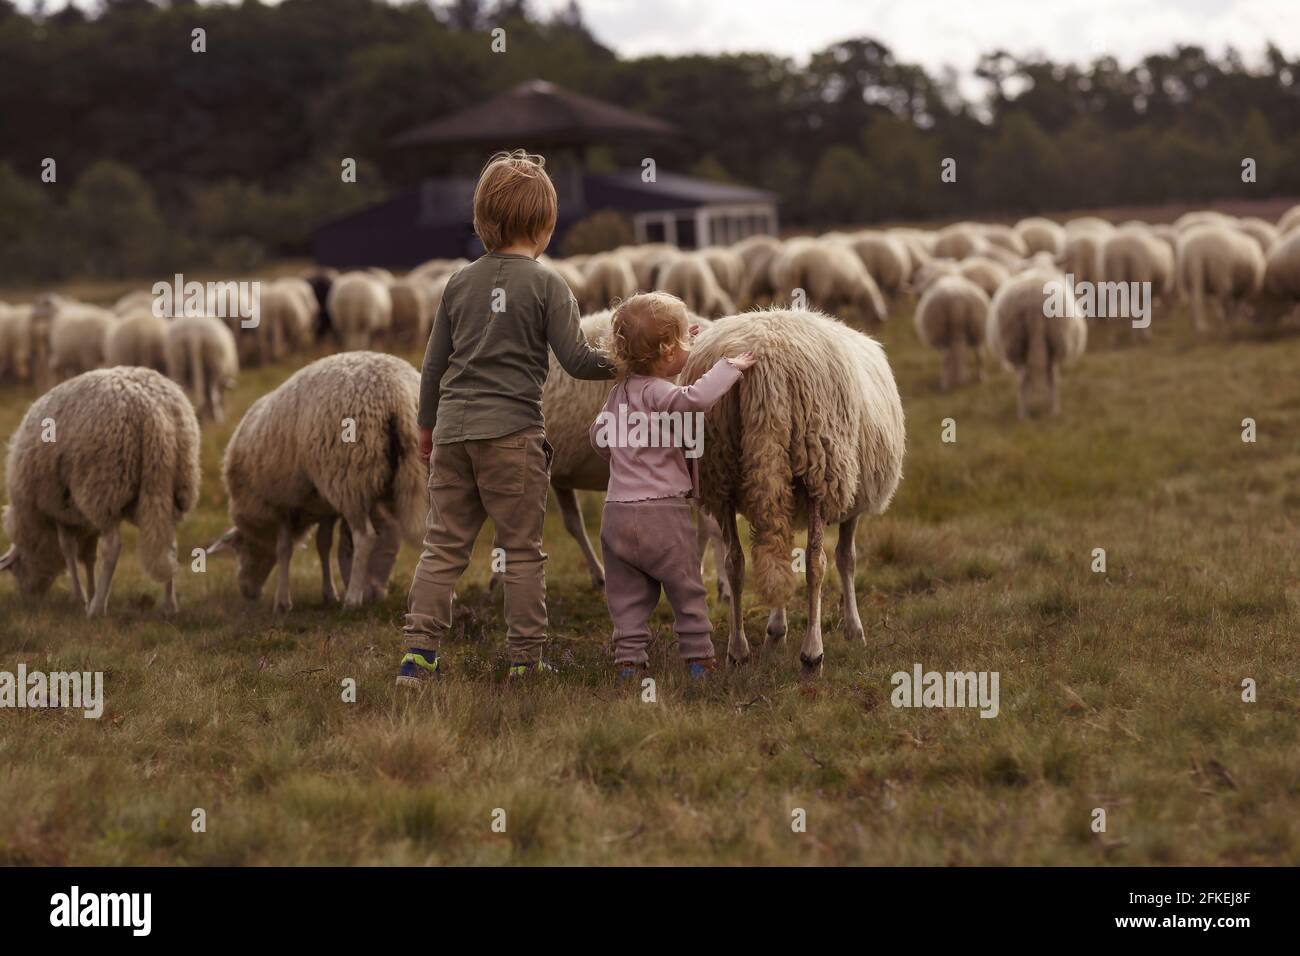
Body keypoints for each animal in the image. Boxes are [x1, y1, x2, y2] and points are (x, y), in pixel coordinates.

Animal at [0, 361, 200, 616]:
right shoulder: (81, 515)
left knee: (113, 547)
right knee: (170, 546)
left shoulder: (58, 509)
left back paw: (96, 610)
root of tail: (151, 408)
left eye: (16, 569)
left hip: (104, 486)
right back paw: (170, 606)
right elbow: (89, 556)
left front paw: (81, 597)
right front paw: (92, 590)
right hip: (172, 486)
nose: (29, 600)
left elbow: (69, 550)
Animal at [205, 351, 423, 613]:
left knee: (365, 537)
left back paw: (352, 600)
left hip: (348, 478)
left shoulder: (278, 504)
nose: (248, 592)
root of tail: (398, 394)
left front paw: (282, 602)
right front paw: (329, 594)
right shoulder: (323, 506)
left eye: (240, 548)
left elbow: (284, 550)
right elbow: (323, 545)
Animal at [681, 308, 904, 671]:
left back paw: (738, 649)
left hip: (721, 466)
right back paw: (812, 652)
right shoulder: (852, 500)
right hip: (821, 466)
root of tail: (766, 367)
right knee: (816, 562)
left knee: (736, 560)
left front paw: (776, 629)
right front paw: (854, 630)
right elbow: (846, 559)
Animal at [987, 269, 1092, 418]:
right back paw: (1054, 411)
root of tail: (1033, 299)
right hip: (1055, 341)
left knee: (1024, 378)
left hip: (1017, 343)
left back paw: (1023, 414)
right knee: (1052, 377)